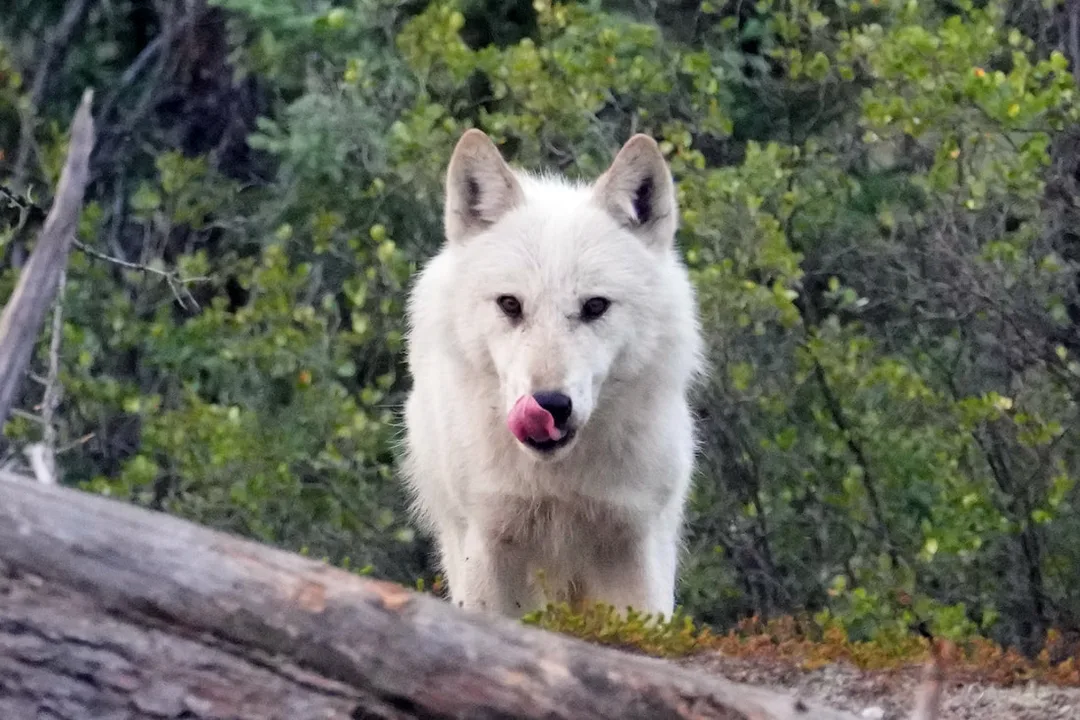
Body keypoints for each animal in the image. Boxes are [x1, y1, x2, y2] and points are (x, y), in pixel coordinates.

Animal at [401, 129, 704, 619]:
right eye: (510, 304)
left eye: (595, 306)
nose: (549, 405)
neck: (557, 484)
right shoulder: (489, 547)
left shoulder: (634, 547)